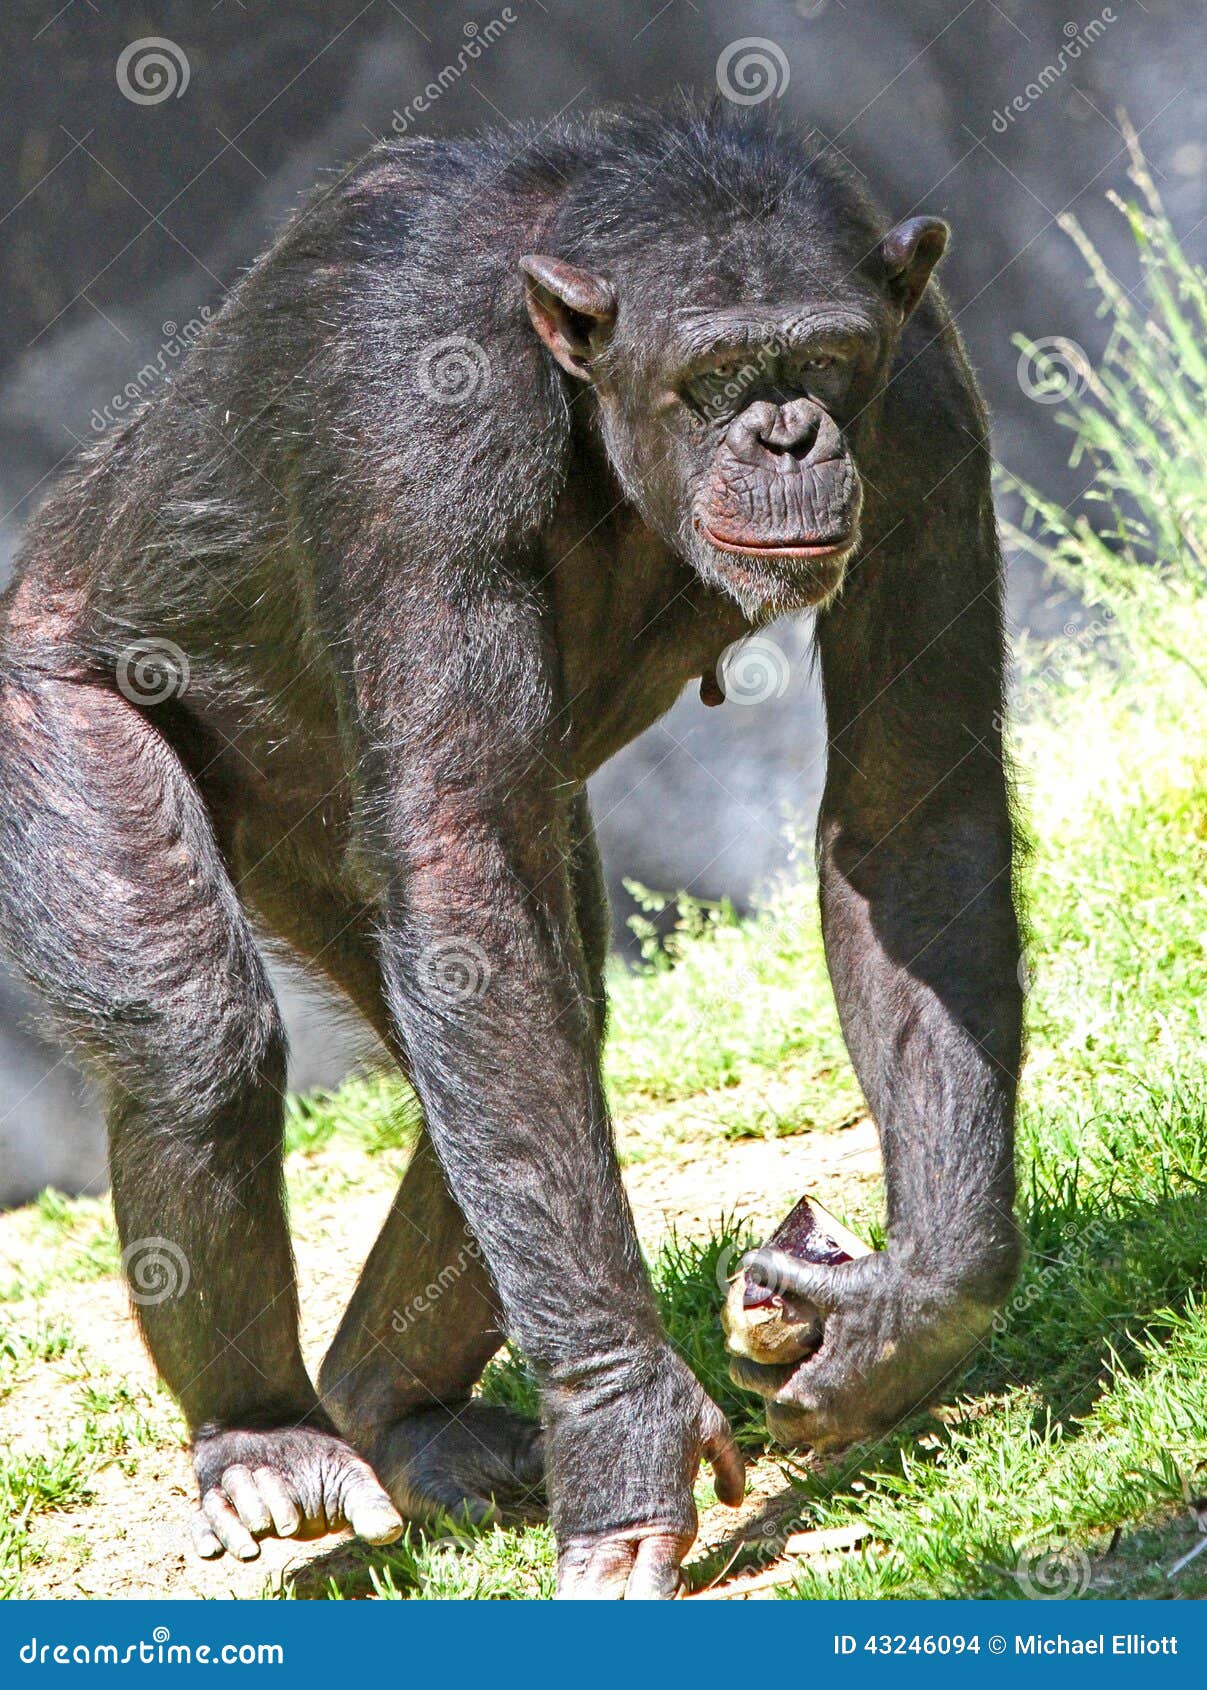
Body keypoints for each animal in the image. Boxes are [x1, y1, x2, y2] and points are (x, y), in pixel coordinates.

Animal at [0, 105, 1021, 1595]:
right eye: (715, 376)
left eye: (827, 359)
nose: (788, 434)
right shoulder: (416, 429)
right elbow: (468, 866)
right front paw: (625, 1428)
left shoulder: (925, 407)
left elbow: (909, 811)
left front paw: (908, 1312)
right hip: (49, 708)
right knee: (197, 1039)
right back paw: (266, 1437)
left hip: (310, 839)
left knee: (524, 1022)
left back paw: (392, 1406)